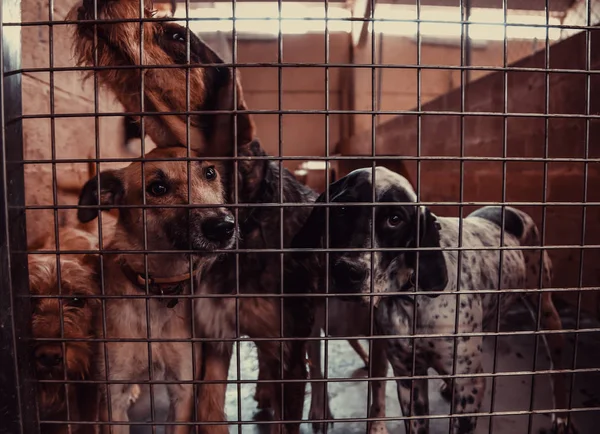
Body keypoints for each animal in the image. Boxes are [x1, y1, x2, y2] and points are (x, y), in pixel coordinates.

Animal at [71, 0, 318, 434]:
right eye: (157, 188)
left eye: (176, 35)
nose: (95, 3)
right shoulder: (214, 339)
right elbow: (210, 411)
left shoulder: (290, 350)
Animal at [292, 168, 576, 434]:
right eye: (341, 210)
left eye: (394, 219)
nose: (347, 271)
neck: (411, 298)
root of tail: (510, 211)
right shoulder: (409, 379)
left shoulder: (469, 385)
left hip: (547, 314)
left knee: (558, 369)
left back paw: (562, 415)